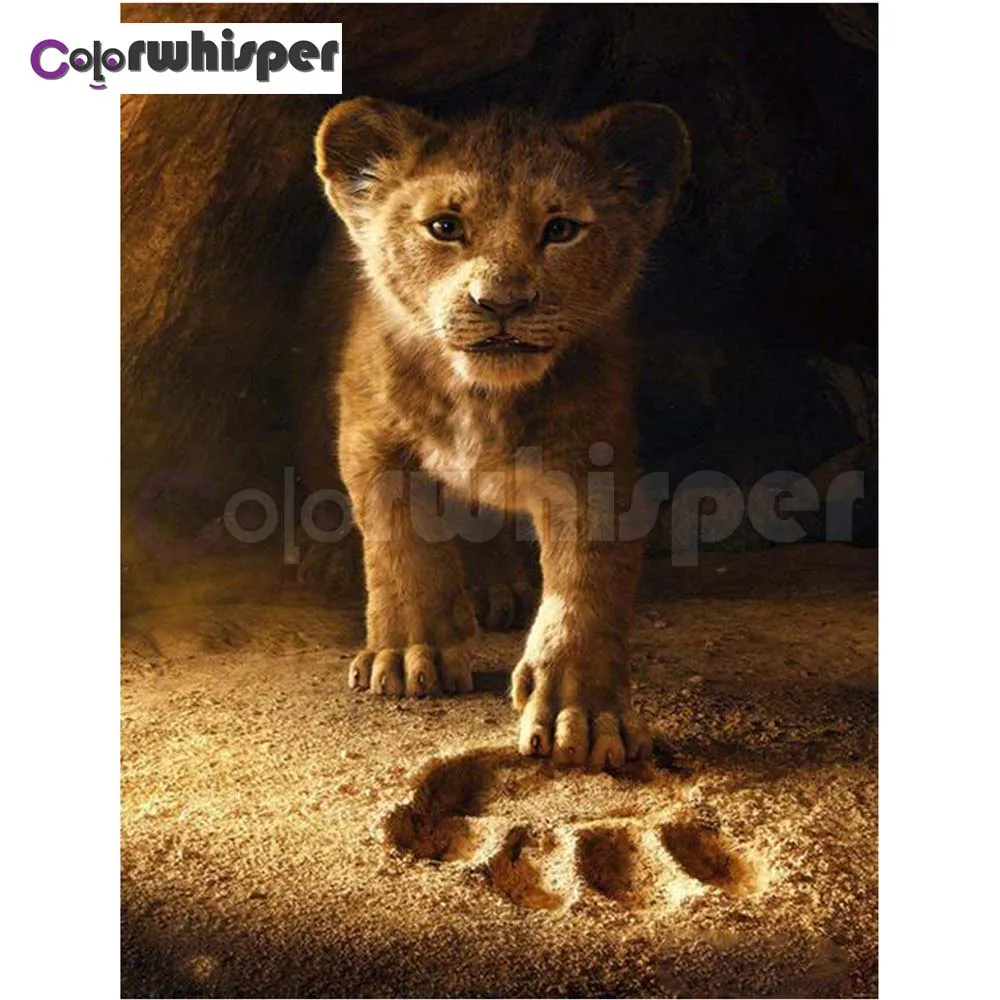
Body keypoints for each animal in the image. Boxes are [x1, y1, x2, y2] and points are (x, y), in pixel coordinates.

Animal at [312, 97, 691, 769]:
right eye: (444, 226)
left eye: (561, 229)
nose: (502, 303)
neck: (483, 397)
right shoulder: (371, 434)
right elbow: (400, 543)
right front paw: (409, 654)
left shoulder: (592, 459)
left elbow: (587, 579)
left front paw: (582, 712)